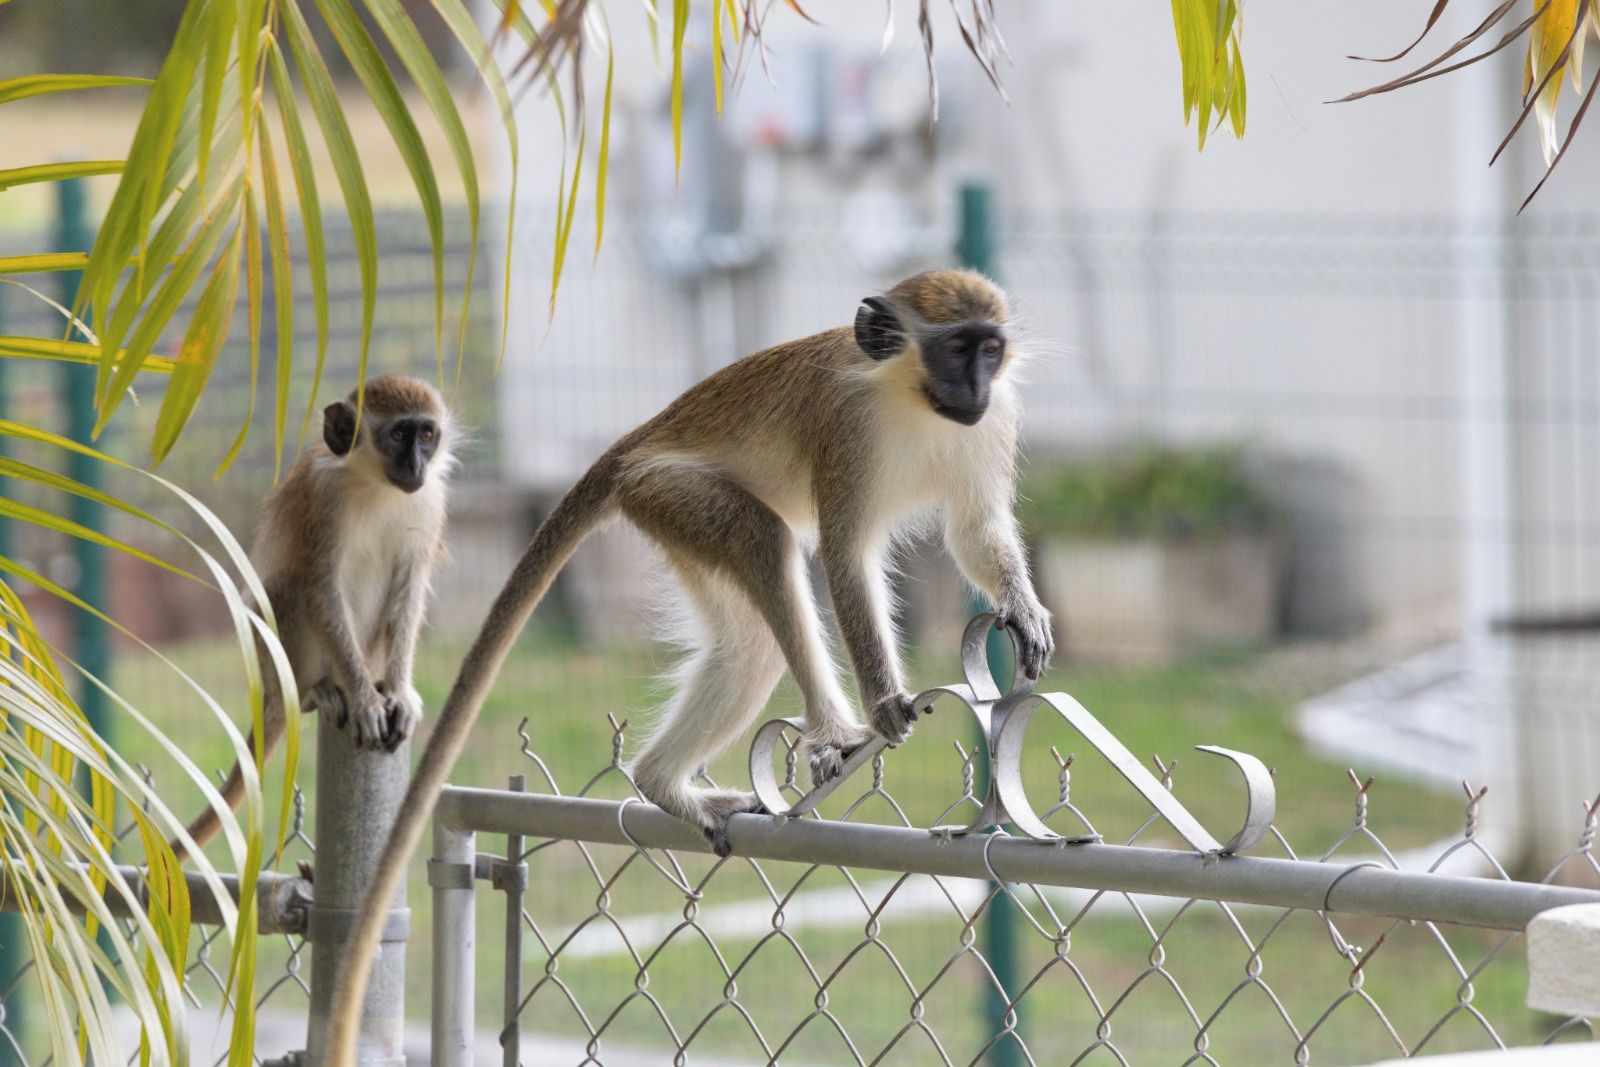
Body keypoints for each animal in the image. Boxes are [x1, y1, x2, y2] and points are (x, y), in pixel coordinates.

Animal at [172, 375, 454, 860]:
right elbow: (320, 587)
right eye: (399, 434)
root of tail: (271, 695)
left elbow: (409, 589)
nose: (417, 465)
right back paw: (320, 690)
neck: (372, 482)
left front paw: (398, 693)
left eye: (427, 435)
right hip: (281, 664)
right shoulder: (323, 502)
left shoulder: (430, 502)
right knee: (287, 586)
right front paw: (364, 701)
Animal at [325, 270, 1051, 1063]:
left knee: (752, 641)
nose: (976, 386)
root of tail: (639, 438)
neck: (910, 398)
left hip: (667, 510)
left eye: (990, 348)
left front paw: (1023, 608)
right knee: (765, 541)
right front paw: (885, 703)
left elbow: (976, 530)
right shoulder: (848, 429)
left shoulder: (995, 424)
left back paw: (661, 783)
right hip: (669, 490)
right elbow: (847, 556)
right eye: (955, 348)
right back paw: (824, 733)